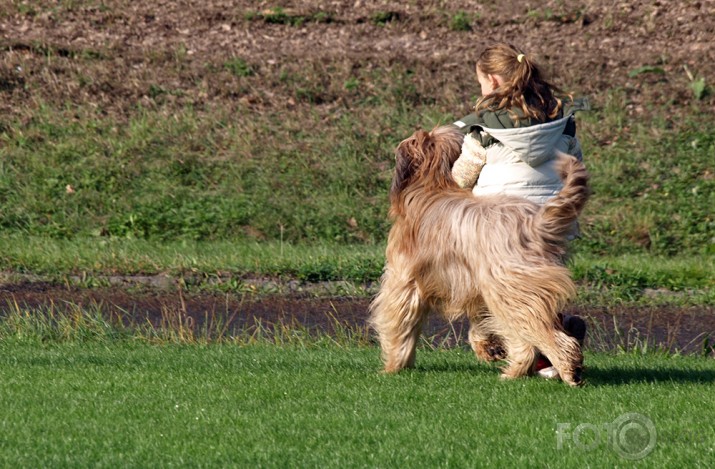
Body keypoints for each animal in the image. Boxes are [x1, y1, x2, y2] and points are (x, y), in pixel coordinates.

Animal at [372, 124, 592, 384]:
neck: (430, 184)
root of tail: (534, 223)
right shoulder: (472, 284)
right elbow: (480, 321)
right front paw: (488, 347)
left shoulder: (404, 282)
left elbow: (399, 322)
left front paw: (394, 366)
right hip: (506, 288)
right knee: (524, 336)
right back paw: (517, 370)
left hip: (510, 287)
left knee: (542, 334)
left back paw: (567, 368)